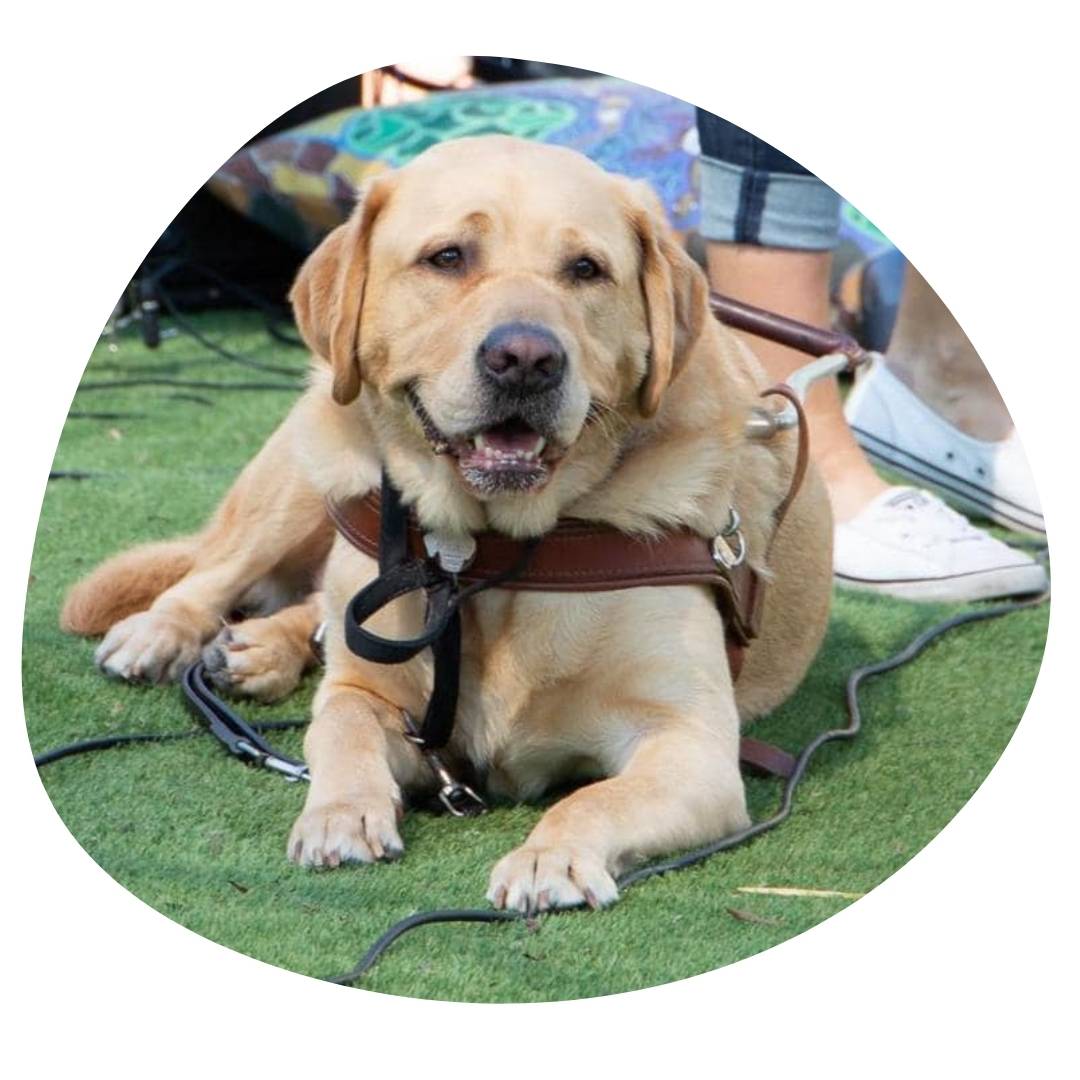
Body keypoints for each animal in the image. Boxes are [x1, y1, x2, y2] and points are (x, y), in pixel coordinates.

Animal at [63, 132, 829, 911]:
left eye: (586, 270)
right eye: (448, 257)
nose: (526, 358)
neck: (485, 551)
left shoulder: (693, 743)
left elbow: (593, 798)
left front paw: (550, 856)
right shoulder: (369, 692)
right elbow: (340, 727)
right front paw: (340, 813)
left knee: (309, 608)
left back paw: (258, 649)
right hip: (314, 466)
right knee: (222, 573)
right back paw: (168, 634)